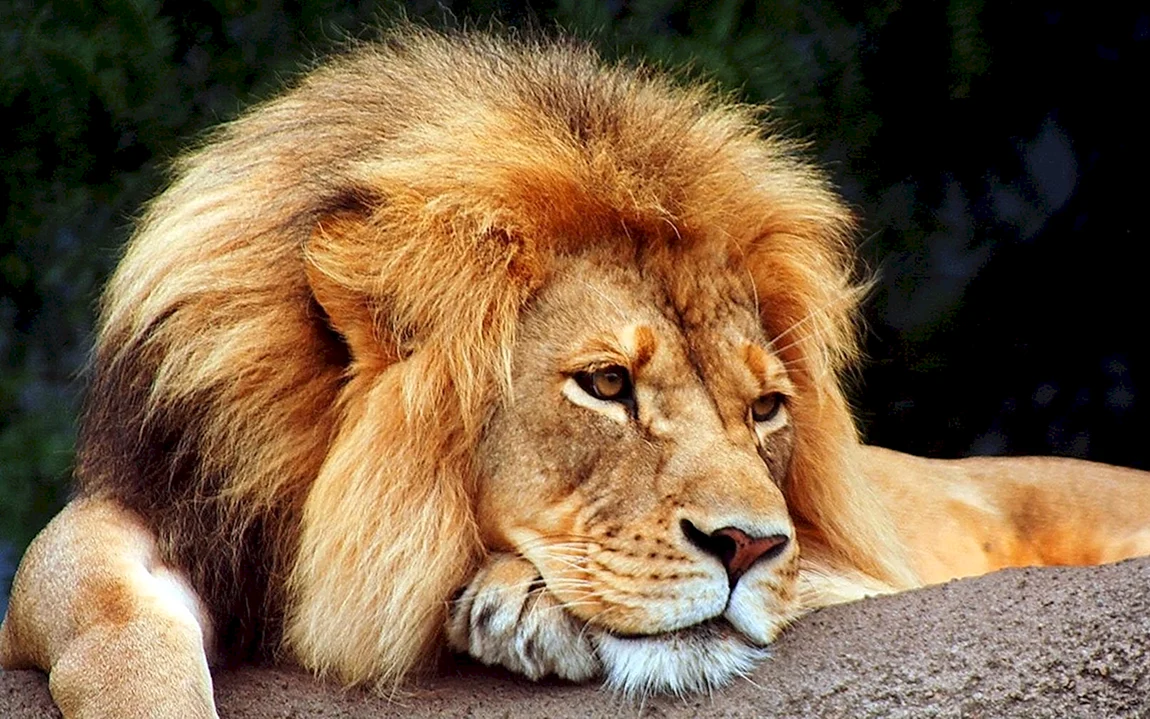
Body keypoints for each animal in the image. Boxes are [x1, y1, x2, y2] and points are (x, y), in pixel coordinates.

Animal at [2, 27, 1148, 718]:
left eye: (766, 408)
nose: (748, 544)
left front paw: (512, 602)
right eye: (604, 384)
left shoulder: (858, 568)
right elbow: (92, 599)